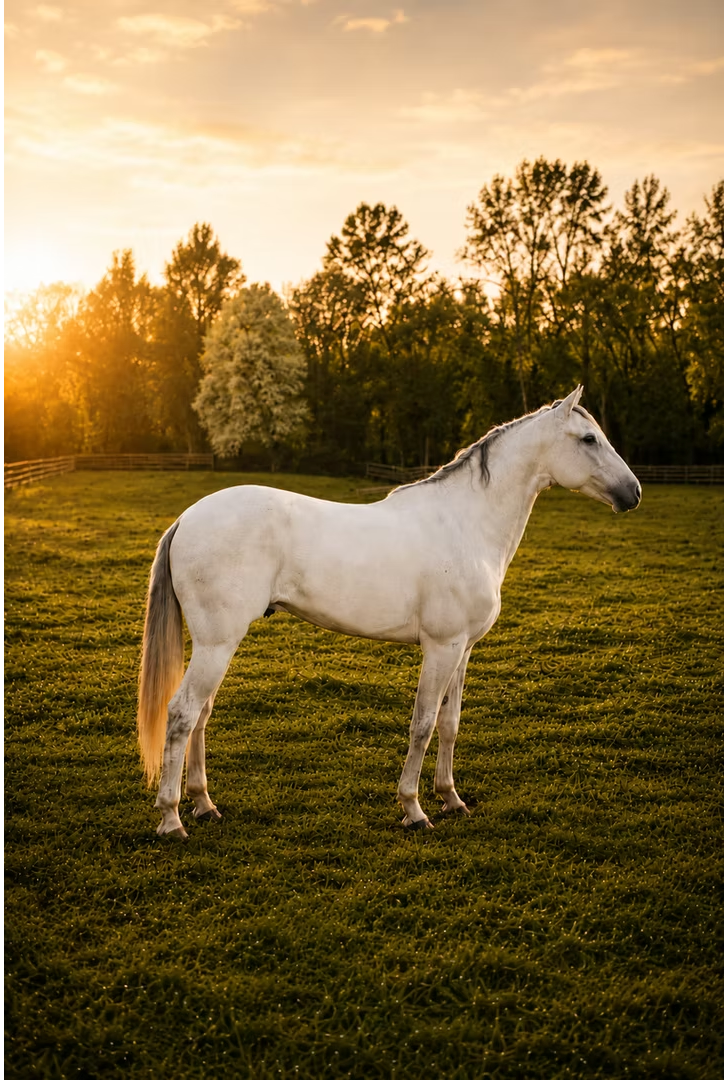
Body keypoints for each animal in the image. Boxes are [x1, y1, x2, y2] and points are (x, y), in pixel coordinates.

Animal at [138, 386, 641, 838]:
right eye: (588, 439)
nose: (633, 493)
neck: (467, 524)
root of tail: (186, 518)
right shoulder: (440, 648)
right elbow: (422, 724)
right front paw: (414, 809)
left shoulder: (463, 650)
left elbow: (450, 724)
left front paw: (451, 798)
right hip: (216, 644)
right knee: (182, 714)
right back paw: (172, 819)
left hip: (216, 647)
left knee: (201, 714)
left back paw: (204, 804)